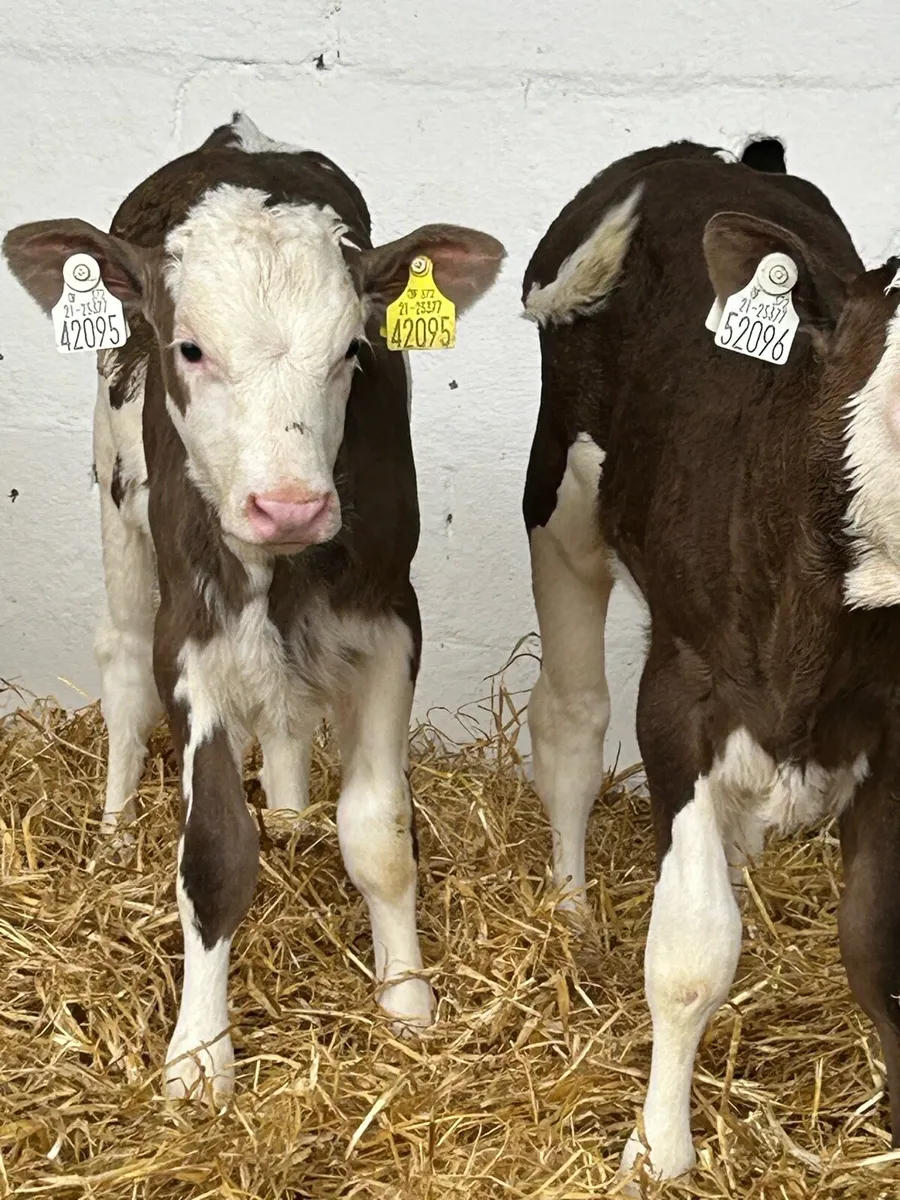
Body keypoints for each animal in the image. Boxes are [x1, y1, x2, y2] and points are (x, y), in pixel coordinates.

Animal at [3, 112, 505, 1098]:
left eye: (353, 351)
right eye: (191, 348)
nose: (290, 505)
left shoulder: (390, 621)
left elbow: (379, 832)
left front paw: (406, 999)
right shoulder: (189, 637)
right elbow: (214, 851)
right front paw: (200, 1053)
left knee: (283, 723)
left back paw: (292, 810)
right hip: (119, 520)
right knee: (122, 670)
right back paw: (113, 834)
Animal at [521, 137, 900, 1180]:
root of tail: (702, 152)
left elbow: (875, 943)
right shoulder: (680, 700)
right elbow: (691, 955)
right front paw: (659, 1148)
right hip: (561, 504)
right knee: (570, 721)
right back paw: (572, 912)